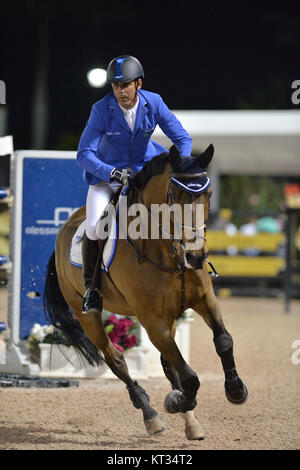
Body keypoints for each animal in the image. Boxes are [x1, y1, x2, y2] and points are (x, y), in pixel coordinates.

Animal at [42, 143, 248, 440]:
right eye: (175, 195)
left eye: (207, 195)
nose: (196, 257)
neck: (170, 253)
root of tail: (63, 232)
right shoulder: (153, 322)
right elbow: (189, 377)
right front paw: (177, 401)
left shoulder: (204, 301)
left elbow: (223, 341)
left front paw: (235, 389)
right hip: (88, 317)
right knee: (115, 359)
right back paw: (151, 415)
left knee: (166, 362)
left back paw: (190, 421)